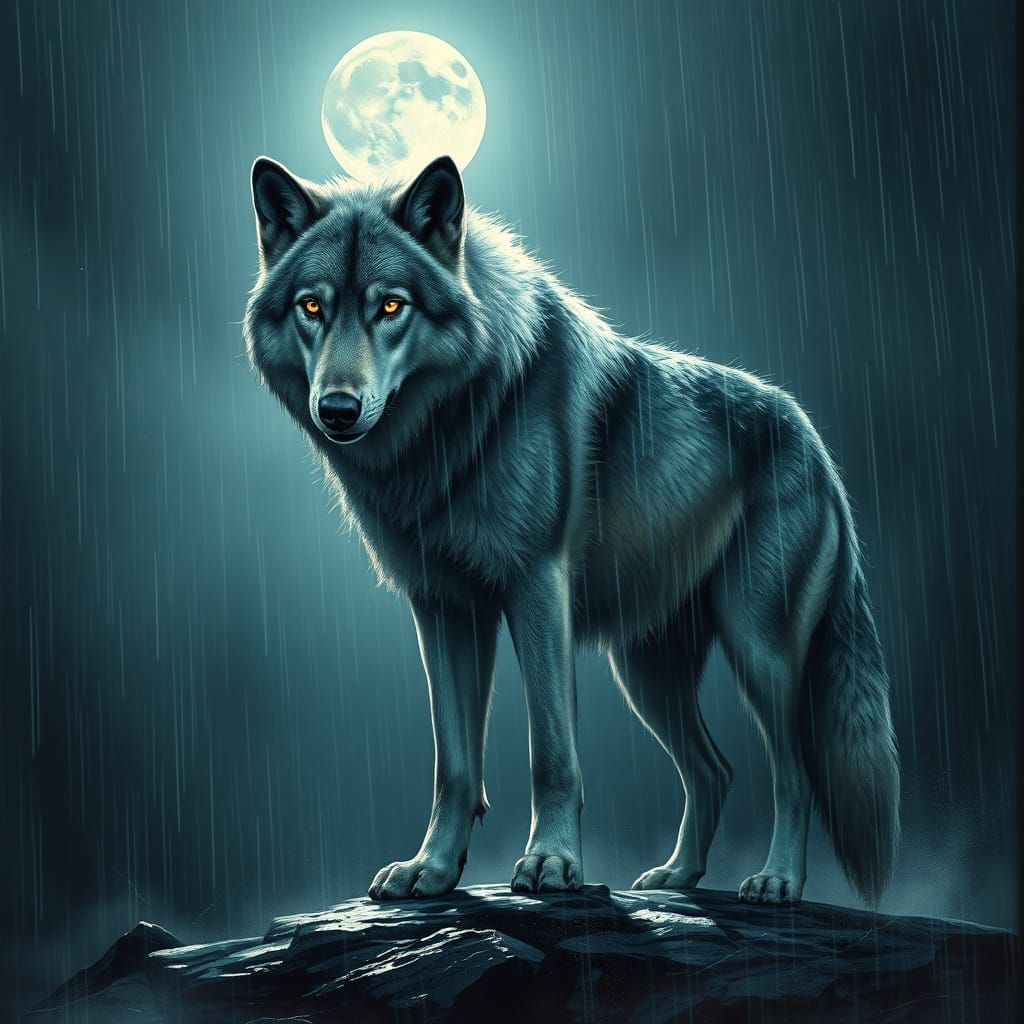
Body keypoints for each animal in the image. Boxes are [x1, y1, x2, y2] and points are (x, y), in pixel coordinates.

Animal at [243, 154, 899, 905]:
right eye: (312, 307)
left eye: (390, 306)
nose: (338, 408)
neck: (450, 436)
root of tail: (815, 441)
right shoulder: (442, 606)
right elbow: (454, 765)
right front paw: (431, 870)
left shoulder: (536, 589)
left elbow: (551, 752)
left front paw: (552, 863)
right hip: (643, 671)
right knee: (716, 770)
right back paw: (674, 878)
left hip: (757, 648)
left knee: (793, 773)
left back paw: (777, 880)